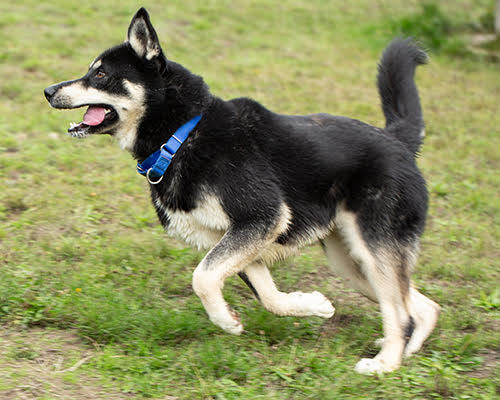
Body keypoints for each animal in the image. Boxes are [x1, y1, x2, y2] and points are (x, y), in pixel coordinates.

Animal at [45, 7, 440, 374]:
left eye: (100, 74)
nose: (48, 91)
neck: (183, 134)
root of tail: (397, 140)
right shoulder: (236, 237)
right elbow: (268, 295)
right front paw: (310, 305)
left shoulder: (261, 218)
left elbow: (202, 278)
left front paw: (224, 319)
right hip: (352, 261)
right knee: (422, 305)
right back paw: (401, 349)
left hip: (372, 248)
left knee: (402, 311)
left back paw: (384, 364)